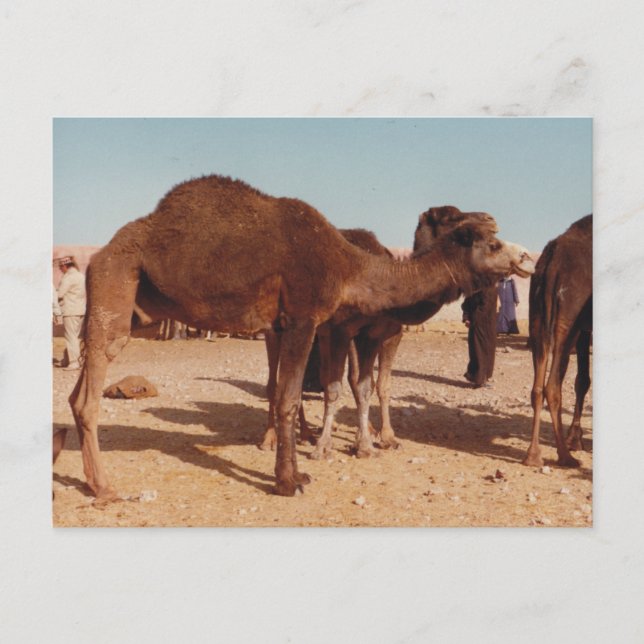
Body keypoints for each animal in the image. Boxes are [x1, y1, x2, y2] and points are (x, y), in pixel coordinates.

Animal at [260, 206, 532, 459]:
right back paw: (271, 438)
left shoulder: (379, 333)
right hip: (279, 328)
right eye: (450, 217)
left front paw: (378, 440)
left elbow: (374, 385)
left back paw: (307, 433)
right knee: (275, 381)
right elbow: (340, 385)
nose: (491, 220)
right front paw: (326, 447)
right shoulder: (343, 330)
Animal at [522, 214, 592, 468]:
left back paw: (533, 455)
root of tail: (552, 260)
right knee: (552, 386)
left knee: (537, 387)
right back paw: (565, 456)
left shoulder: (585, 330)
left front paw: (576, 438)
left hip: (537, 317)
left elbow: (582, 380)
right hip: (566, 318)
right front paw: (575, 440)